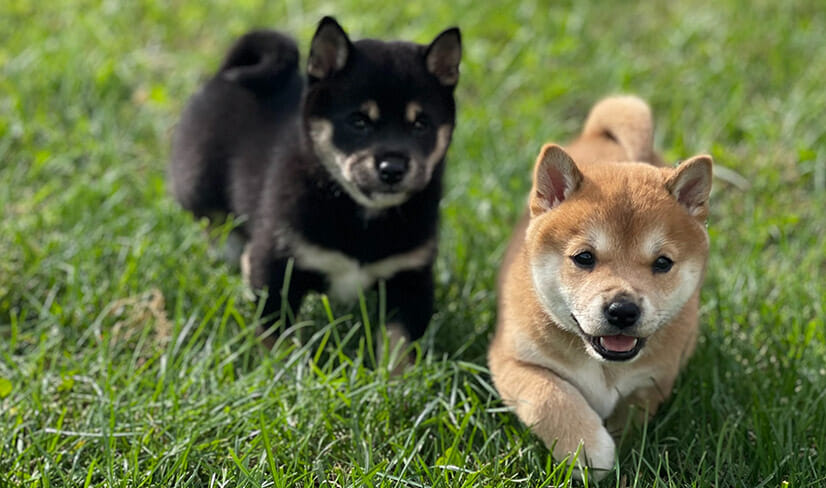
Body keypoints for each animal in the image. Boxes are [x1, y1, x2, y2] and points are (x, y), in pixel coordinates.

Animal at [170, 18, 460, 354]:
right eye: (359, 122)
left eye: (420, 124)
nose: (393, 169)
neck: (361, 216)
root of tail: (223, 74)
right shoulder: (276, 265)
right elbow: (276, 333)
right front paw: (278, 365)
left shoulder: (410, 279)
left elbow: (398, 346)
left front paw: (392, 371)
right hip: (198, 188)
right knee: (216, 225)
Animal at [486, 96, 712, 480]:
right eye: (584, 258)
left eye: (662, 263)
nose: (623, 310)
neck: (602, 365)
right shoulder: (512, 360)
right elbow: (549, 397)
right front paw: (588, 449)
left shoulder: (653, 380)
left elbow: (632, 415)